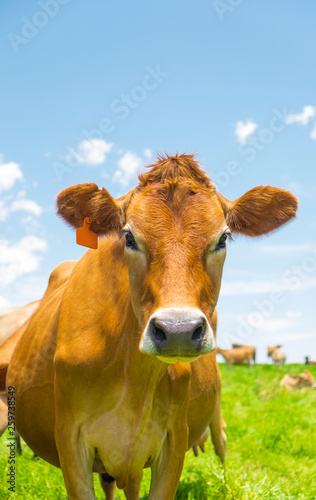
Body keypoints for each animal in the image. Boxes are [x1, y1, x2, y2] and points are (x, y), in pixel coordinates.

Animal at [6, 154, 296, 498]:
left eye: (223, 238)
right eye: (129, 237)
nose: (178, 331)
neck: (134, 379)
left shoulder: (174, 439)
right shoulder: (69, 439)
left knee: (221, 441)